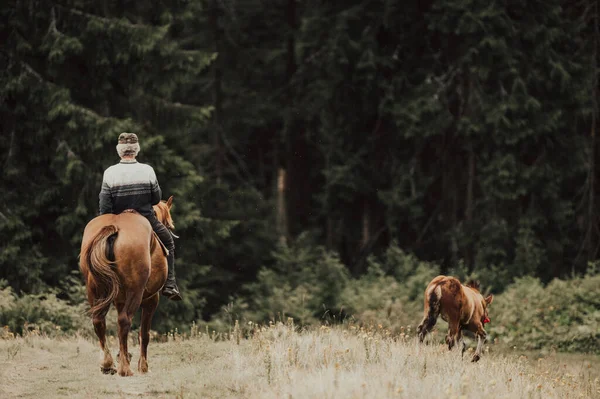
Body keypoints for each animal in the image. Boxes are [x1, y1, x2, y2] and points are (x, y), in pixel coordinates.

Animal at [79, 197, 176, 378]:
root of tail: (114, 228)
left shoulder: (119, 301)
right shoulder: (151, 300)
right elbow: (144, 334)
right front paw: (143, 366)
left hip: (94, 290)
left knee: (98, 321)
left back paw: (108, 364)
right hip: (135, 292)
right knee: (124, 321)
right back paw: (125, 369)